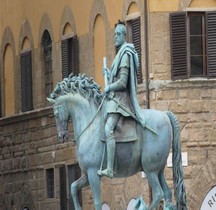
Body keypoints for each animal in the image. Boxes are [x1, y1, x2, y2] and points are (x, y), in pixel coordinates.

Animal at [47, 73, 187, 209]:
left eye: (55, 114)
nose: (62, 136)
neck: (90, 126)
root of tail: (165, 114)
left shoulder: (92, 172)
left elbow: (97, 202)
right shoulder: (87, 174)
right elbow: (73, 187)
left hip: (150, 169)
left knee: (158, 193)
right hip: (158, 170)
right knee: (167, 193)